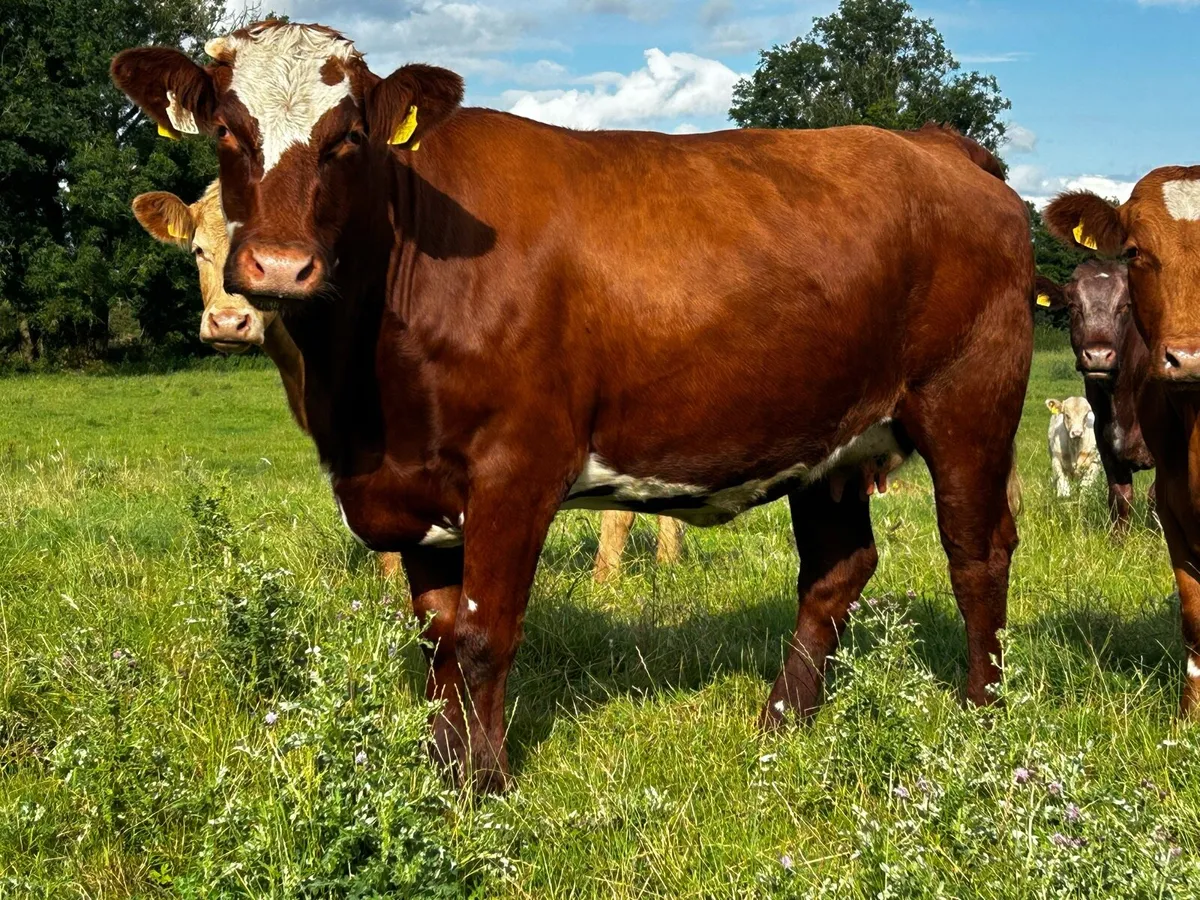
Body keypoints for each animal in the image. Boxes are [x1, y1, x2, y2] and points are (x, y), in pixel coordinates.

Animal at [112, 22, 1034, 790]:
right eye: (227, 130)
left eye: (348, 138)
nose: (277, 267)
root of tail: (935, 144)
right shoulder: (413, 485)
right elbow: (437, 638)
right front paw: (440, 769)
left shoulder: (517, 467)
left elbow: (484, 637)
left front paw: (483, 785)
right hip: (829, 440)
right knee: (837, 572)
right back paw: (780, 728)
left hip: (970, 403)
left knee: (977, 554)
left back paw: (980, 723)